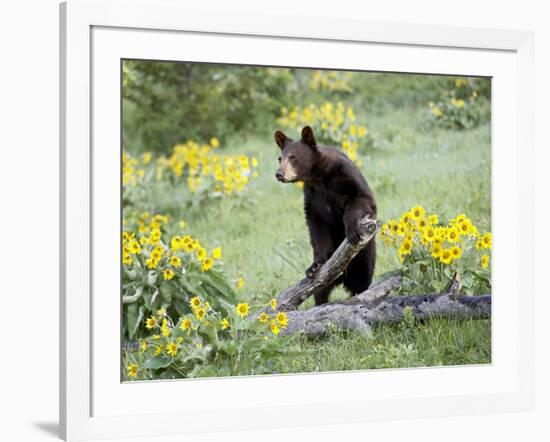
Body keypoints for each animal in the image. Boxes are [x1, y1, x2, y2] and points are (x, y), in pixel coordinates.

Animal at [274, 124, 378, 304]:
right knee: (320, 291)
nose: (279, 174)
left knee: (362, 280)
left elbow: (361, 198)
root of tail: (342, 278)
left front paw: (351, 230)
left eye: (293, 157)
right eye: (280, 158)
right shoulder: (313, 196)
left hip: (365, 256)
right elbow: (317, 227)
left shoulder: (345, 175)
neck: (318, 177)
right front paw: (315, 266)